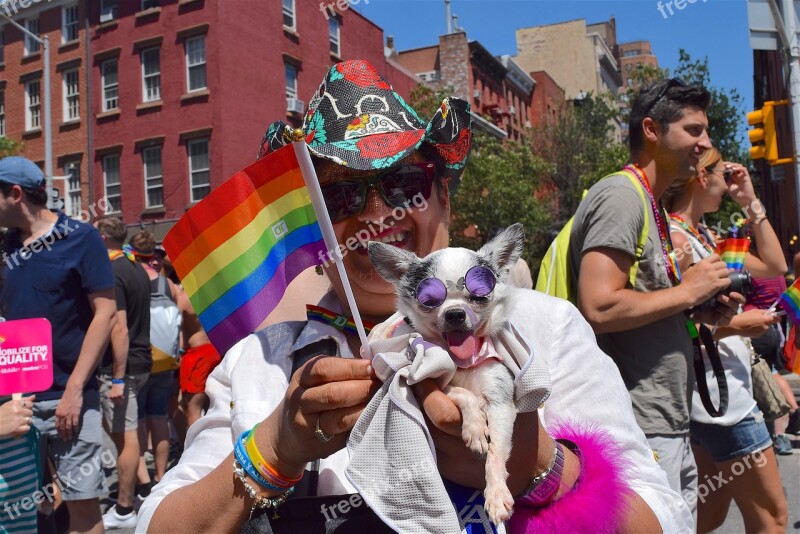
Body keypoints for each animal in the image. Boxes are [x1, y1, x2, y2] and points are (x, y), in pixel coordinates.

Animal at [344, 314, 552, 534]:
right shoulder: (441, 384)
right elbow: (463, 393)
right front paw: (476, 429)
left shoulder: (500, 400)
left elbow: (495, 452)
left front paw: (496, 495)